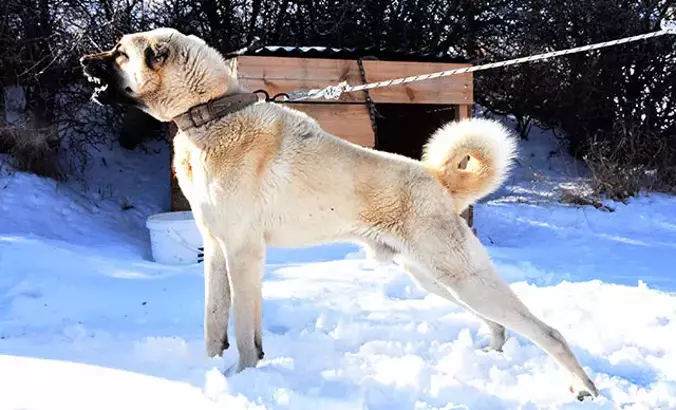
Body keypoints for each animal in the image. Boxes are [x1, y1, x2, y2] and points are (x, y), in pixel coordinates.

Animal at [80, 27, 604, 398]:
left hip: (460, 275)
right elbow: (215, 322)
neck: (210, 114)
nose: (84, 60)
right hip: (435, 278)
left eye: (120, 53)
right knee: (500, 324)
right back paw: (492, 355)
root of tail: (437, 179)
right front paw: (212, 369)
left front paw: (245, 376)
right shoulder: (217, 250)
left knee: (548, 331)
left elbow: (244, 331)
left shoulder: (244, 254)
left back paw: (582, 388)